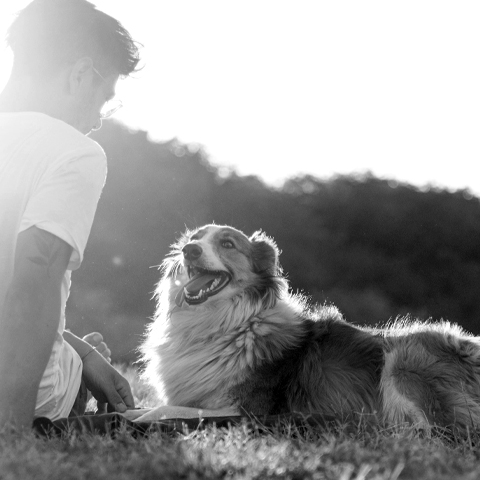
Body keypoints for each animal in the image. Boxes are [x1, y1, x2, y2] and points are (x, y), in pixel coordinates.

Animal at [130, 225, 480, 432]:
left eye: (227, 243)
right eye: (194, 239)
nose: (188, 250)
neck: (227, 324)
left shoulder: (243, 408)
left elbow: (163, 411)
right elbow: (142, 409)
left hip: (404, 359)